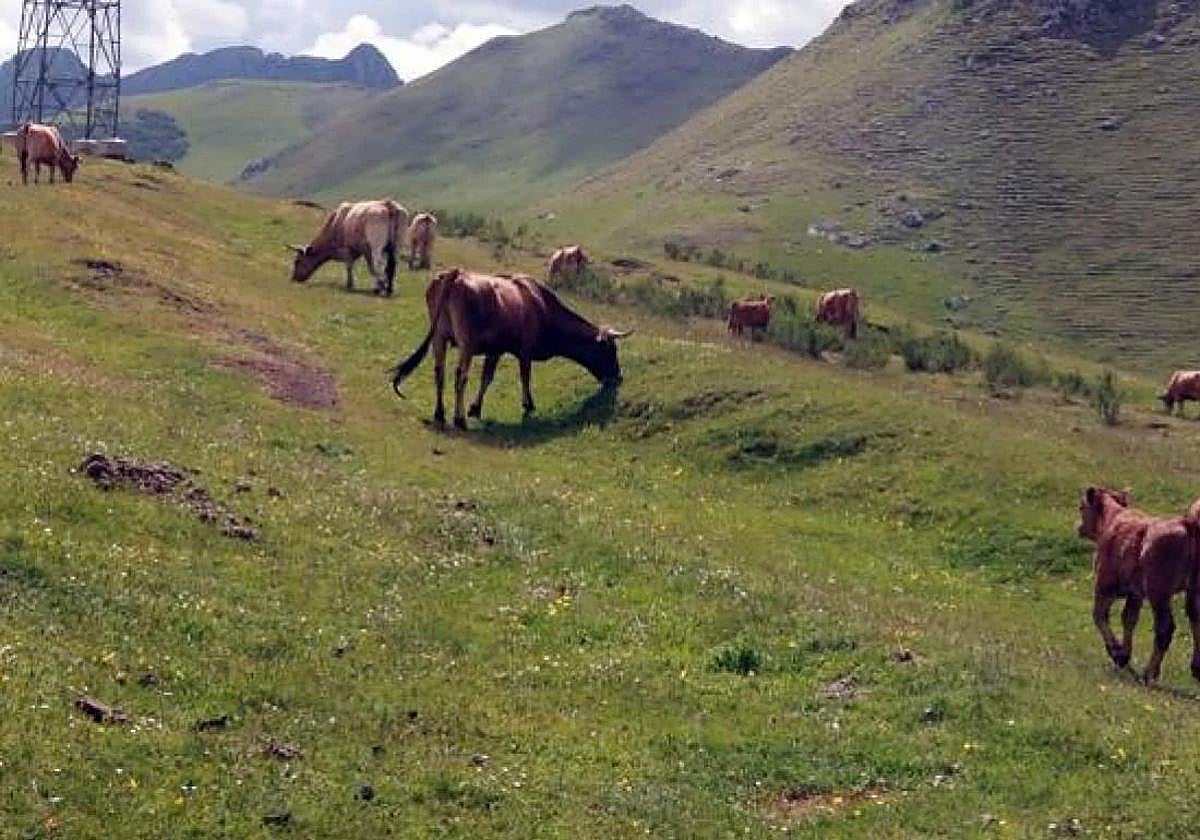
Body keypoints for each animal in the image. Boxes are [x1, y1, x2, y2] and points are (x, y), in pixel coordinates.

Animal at [391, 268, 631, 429]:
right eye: (610, 350)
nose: (618, 377)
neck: (543, 307)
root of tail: (456, 274)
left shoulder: (495, 350)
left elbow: (487, 378)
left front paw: (475, 408)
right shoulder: (525, 351)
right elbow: (525, 377)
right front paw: (528, 404)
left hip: (439, 337)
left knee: (439, 372)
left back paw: (440, 413)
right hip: (466, 343)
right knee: (460, 375)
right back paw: (458, 419)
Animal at [1077, 486, 1200, 684]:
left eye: (1081, 507)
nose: (1079, 528)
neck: (1112, 519)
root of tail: (1187, 522)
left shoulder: (1104, 586)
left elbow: (1099, 615)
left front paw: (1117, 654)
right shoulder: (1135, 594)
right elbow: (1128, 619)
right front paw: (1124, 654)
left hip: (1159, 593)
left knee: (1165, 628)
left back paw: (1149, 673)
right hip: (1193, 591)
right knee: (1195, 619)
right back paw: (1196, 668)